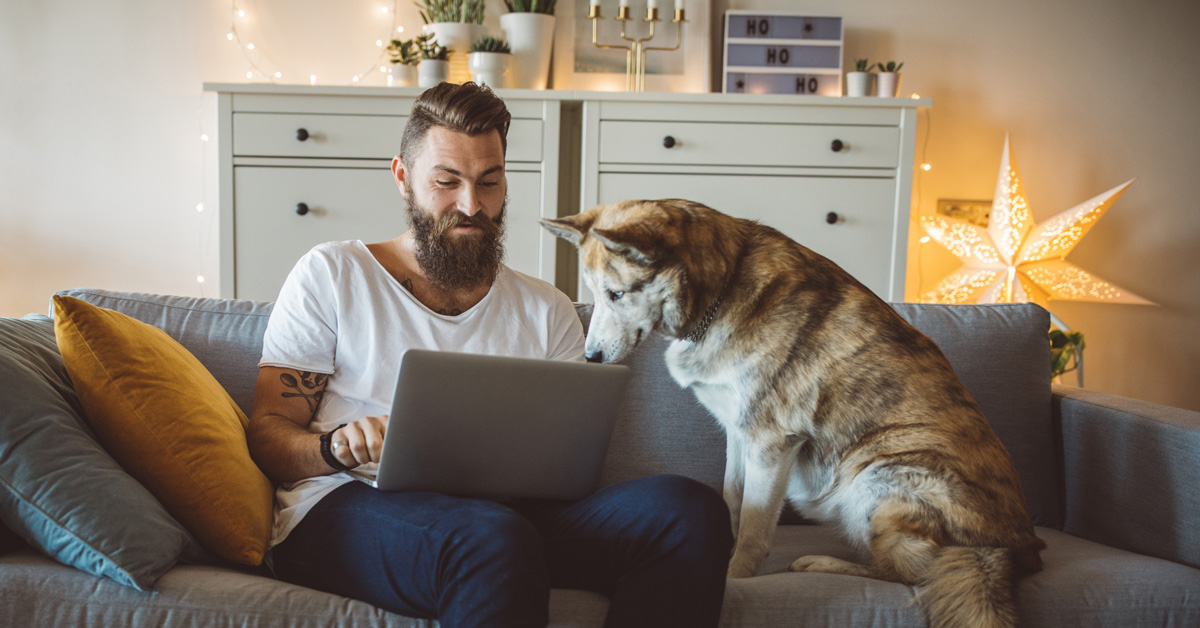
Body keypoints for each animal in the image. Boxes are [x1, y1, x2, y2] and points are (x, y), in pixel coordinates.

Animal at [540, 200, 1046, 628]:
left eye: (617, 294)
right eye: (596, 295)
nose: (591, 359)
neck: (721, 290)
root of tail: (1008, 549)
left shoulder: (770, 443)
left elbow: (753, 528)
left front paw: (734, 577)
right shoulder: (738, 434)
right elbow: (733, 502)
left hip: (876, 475)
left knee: (912, 575)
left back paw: (821, 562)